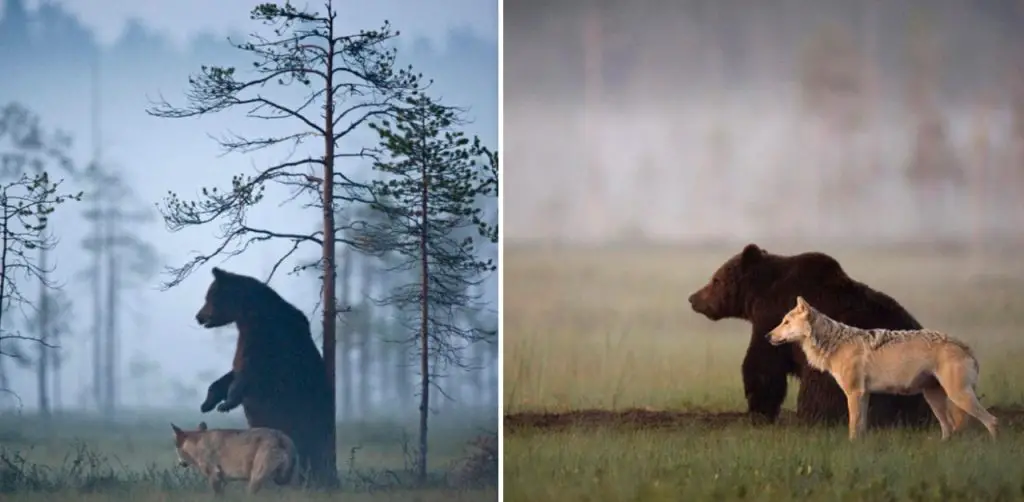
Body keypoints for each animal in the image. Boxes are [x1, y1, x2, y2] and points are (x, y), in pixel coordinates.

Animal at [169, 420, 299, 493]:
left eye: (175, 446)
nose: (180, 463)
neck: (197, 443)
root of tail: (281, 436)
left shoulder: (214, 477)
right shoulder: (222, 480)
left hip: (255, 480)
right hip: (288, 481)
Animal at [192, 268, 335, 487]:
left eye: (209, 297)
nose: (198, 316)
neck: (249, 316)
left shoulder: (268, 341)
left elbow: (250, 372)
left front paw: (226, 403)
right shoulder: (248, 339)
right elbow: (231, 372)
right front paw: (207, 402)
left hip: (303, 417)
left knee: (309, 446)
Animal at [688, 242, 937, 428]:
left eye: (716, 280)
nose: (693, 298)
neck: (759, 295)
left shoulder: (772, 318)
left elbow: (763, 365)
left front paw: (758, 411)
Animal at [770, 297, 991, 440]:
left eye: (786, 322)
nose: (767, 336)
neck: (834, 343)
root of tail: (964, 345)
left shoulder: (854, 393)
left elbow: (853, 427)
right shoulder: (864, 394)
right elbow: (861, 427)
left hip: (958, 397)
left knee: (992, 421)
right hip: (935, 399)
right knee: (950, 429)